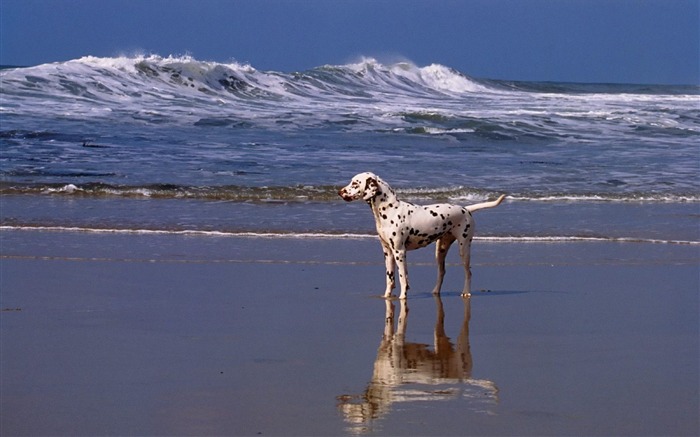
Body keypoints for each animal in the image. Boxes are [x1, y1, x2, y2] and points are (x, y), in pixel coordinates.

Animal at [338, 172, 504, 298]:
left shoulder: (399, 252)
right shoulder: (388, 252)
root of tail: (466, 209)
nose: (339, 192)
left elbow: (402, 278)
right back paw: (436, 292)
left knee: (468, 273)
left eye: (355, 183)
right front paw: (386, 297)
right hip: (440, 251)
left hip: (464, 249)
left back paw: (466, 292)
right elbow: (390, 279)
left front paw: (402, 298)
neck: (390, 209)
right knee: (442, 272)